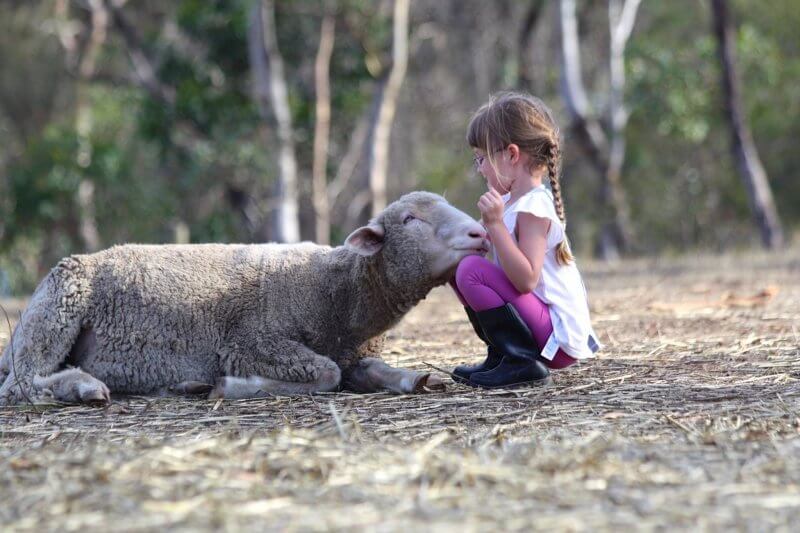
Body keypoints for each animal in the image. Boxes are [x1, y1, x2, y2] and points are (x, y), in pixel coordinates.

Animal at [0, 191, 488, 404]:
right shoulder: (250, 343)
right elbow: (326, 374)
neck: (333, 291)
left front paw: (416, 378)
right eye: (409, 219)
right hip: (60, 306)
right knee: (21, 383)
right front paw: (231, 386)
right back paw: (84, 387)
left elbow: (372, 371)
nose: (479, 233)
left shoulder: (355, 352)